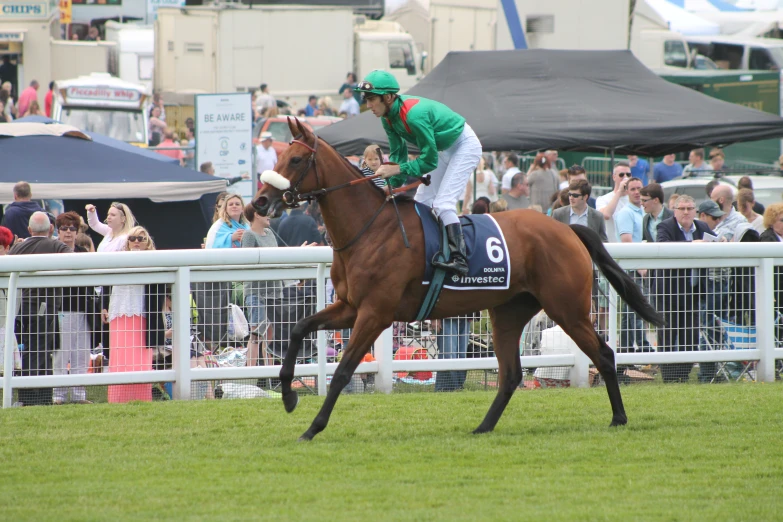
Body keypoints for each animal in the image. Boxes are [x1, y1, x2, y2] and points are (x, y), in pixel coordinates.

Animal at [254, 119, 664, 438]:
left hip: (568, 308)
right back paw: (483, 427)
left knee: (604, 354)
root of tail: (567, 229)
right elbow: (298, 328)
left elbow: (342, 371)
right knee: (511, 374)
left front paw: (313, 427)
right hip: (509, 312)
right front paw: (289, 396)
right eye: (277, 157)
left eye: (294, 159)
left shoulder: (375, 313)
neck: (369, 229)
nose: (258, 202)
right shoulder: (350, 306)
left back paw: (619, 417)